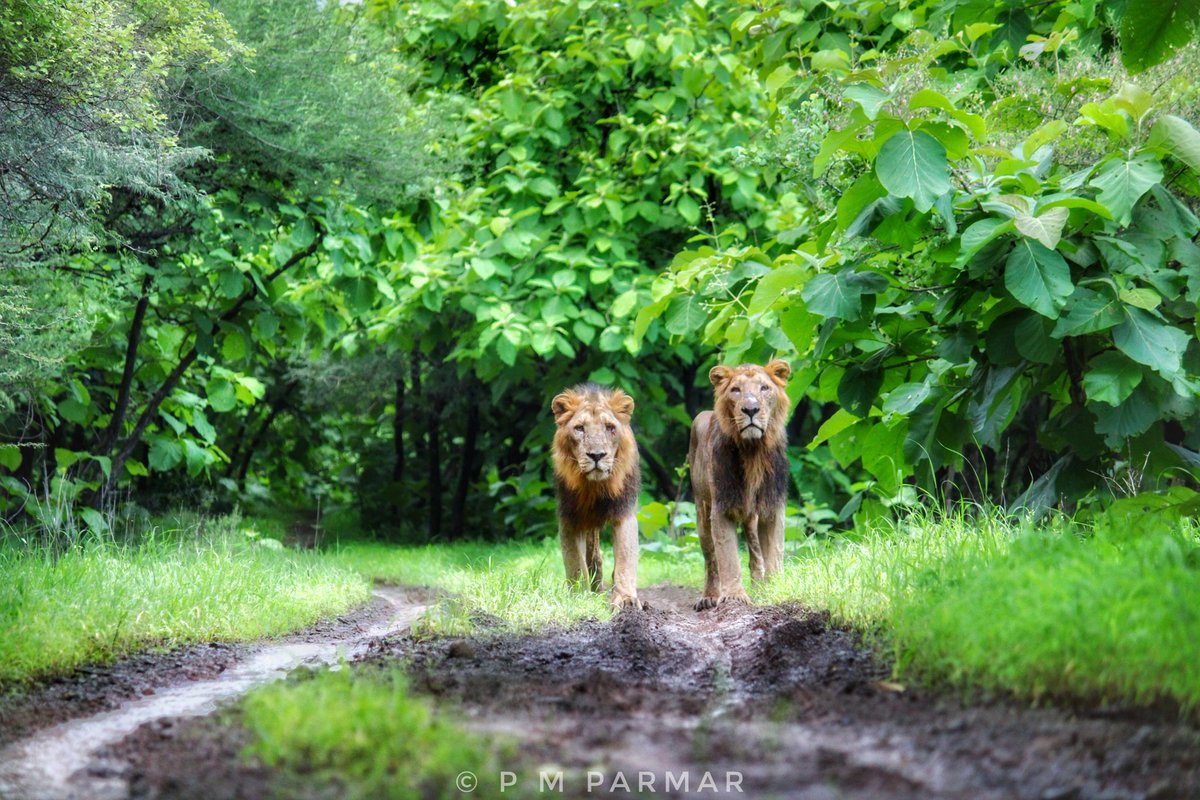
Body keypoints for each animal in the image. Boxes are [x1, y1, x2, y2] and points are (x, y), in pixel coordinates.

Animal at [551, 383, 642, 610]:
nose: (597, 455)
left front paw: (625, 599)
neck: (594, 486)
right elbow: (575, 564)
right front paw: (578, 597)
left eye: (610, 428)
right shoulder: (569, 518)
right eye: (579, 428)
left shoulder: (624, 512)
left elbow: (625, 560)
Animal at [689, 360, 792, 610]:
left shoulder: (772, 506)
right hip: (701, 512)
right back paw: (710, 597)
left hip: (751, 517)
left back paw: (760, 588)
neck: (753, 451)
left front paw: (773, 591)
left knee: (756, 556)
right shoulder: (722, 507)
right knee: (711, 560)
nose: (751, 409)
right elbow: (727, 558)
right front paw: (735, 597)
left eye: (764, 388)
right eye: (736, 390)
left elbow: (774, 553)